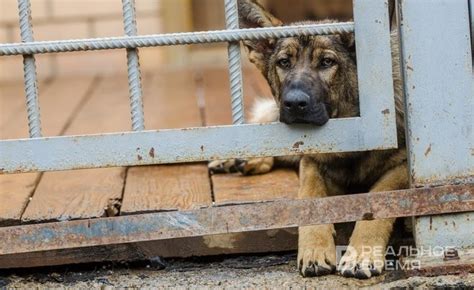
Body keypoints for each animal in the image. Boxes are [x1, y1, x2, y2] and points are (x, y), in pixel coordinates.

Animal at [209, 0, 410, 278]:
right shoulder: (311, 162)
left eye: (326, 62)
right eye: (284, 62)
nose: (294, 103)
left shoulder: (402, 167)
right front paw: (315, 248)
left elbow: (380, 198)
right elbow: (310, 195)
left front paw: (361, 253)